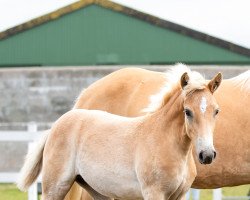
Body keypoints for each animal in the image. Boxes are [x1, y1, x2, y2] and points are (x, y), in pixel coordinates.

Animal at [17, 67, 221, 200]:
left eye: (216, 111)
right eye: (187, 111)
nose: (207, 155)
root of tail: (56, 126)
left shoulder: (179, 195)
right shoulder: (153, 193)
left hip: (97, 190)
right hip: (54, 187)